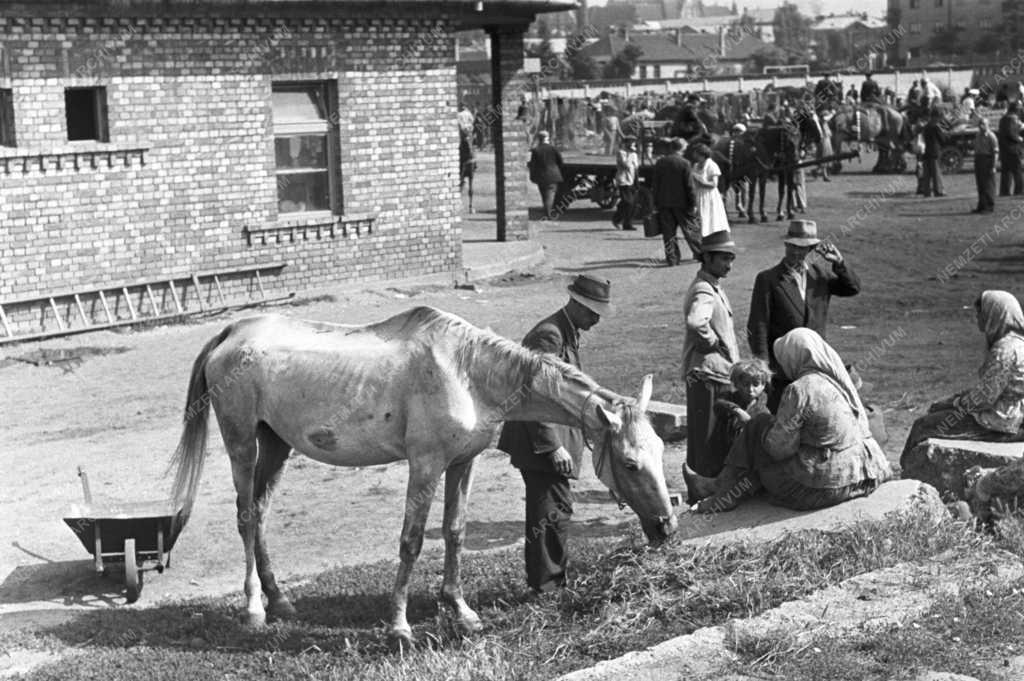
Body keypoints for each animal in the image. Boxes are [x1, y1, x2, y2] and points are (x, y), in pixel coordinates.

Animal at [169, 307, 679, 643]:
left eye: (659, 450)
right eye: (630, 463)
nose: (667, 527)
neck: (468, 373)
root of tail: (231, 333)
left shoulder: (462, 464)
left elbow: (454, 531)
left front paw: (462, 611)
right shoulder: (426, 465)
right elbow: (411, 541)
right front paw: (400, 625)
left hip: (275, 445)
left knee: (259, 513)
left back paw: (280, 601)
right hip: (242, 444)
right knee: (245, 517)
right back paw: (254, 610)